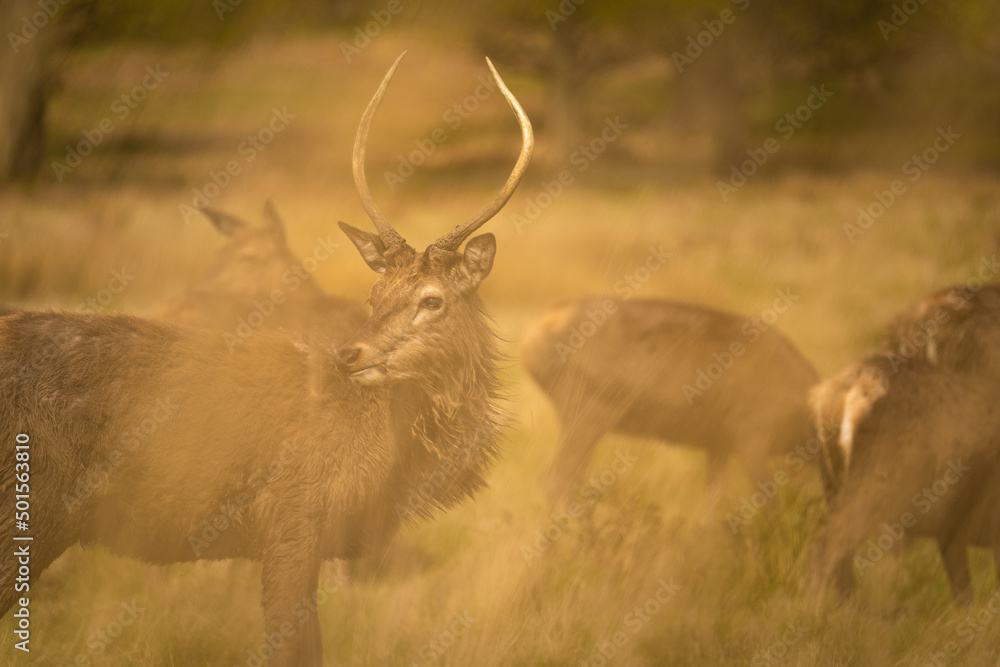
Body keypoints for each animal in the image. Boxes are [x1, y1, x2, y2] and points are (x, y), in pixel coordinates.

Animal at [522, 297, 820, 504]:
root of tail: (540, 328)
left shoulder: (718, 448)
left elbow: (712, 504)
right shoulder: (751, 442)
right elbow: (769, 503)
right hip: (586, 424)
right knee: (557, 483)